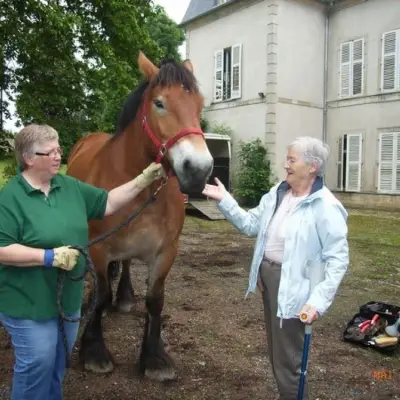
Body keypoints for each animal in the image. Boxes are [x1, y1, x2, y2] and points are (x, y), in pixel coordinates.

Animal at [67, 50, 214, 382]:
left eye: (199, 104)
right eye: (159, 103)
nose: (198, 171)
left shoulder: (165, 252)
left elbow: (155, 300)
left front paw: (154, 358)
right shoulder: (99, 248)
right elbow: (101, 293)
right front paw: (94, 352)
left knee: (124, 266)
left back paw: (124, 297)